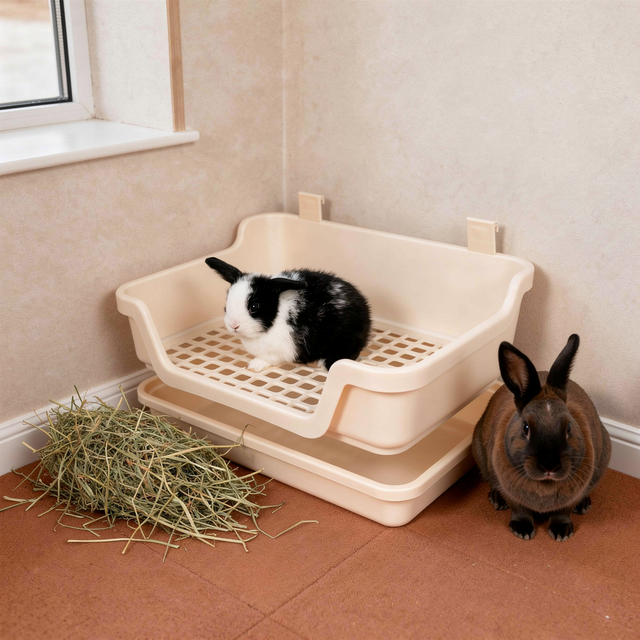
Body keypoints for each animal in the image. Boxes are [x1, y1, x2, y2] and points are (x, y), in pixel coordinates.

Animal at [205, 257, 372, 373]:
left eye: (254, 307)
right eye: (227, 302)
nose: (234, 325)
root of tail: (365, 310)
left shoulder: (280, 351)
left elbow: (269, 359)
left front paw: (253, 365)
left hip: (346, 338)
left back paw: (324, 364)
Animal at [472, 334, 611, 541]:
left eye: (569, 427)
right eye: (526, 428)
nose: (549, 466)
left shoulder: (572, 495)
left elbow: (563, 512)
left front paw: (561, 533)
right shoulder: (511, 494)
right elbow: (519, 510)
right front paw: (522, 530)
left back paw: (583, 505)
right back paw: (497, 500)